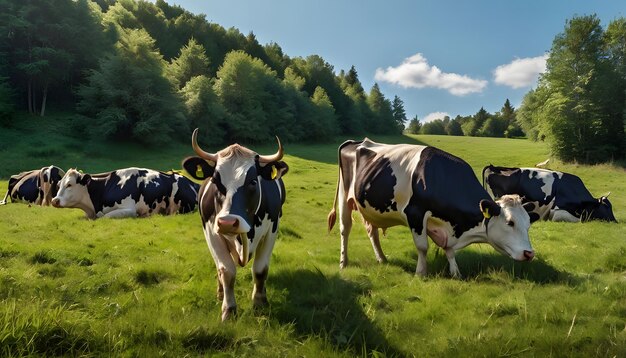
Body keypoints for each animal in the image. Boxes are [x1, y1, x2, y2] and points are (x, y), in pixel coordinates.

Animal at [180, 128, 288, 322]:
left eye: (253, 181)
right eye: (215, 181)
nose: (228, 222)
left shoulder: (272, 230)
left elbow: (260, 270)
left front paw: (259, 303)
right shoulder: (211, 232)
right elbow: (226, 271)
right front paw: (229, 309)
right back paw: (220, 293)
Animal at [324, 138, 532, 278]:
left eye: (529, 224)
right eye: (510, 222)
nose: (530, 253)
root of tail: (356, 141)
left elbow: (449, 251)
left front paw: (455, 273)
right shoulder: (415, 213)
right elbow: (423, 247)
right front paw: (421, 273)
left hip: (370, 207)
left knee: (372, 231)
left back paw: (382, 259)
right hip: (344, 196)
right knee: (345, 229)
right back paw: (343, 263)